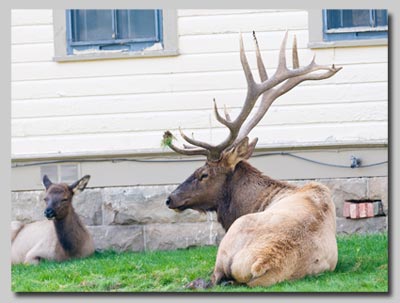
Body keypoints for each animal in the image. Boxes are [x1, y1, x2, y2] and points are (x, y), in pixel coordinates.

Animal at [162, 32, 340, 288]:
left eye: (203, 174)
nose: (170, 199)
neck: (252, 202)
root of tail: (262, 262)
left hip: (229, 242)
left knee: (212, 279)